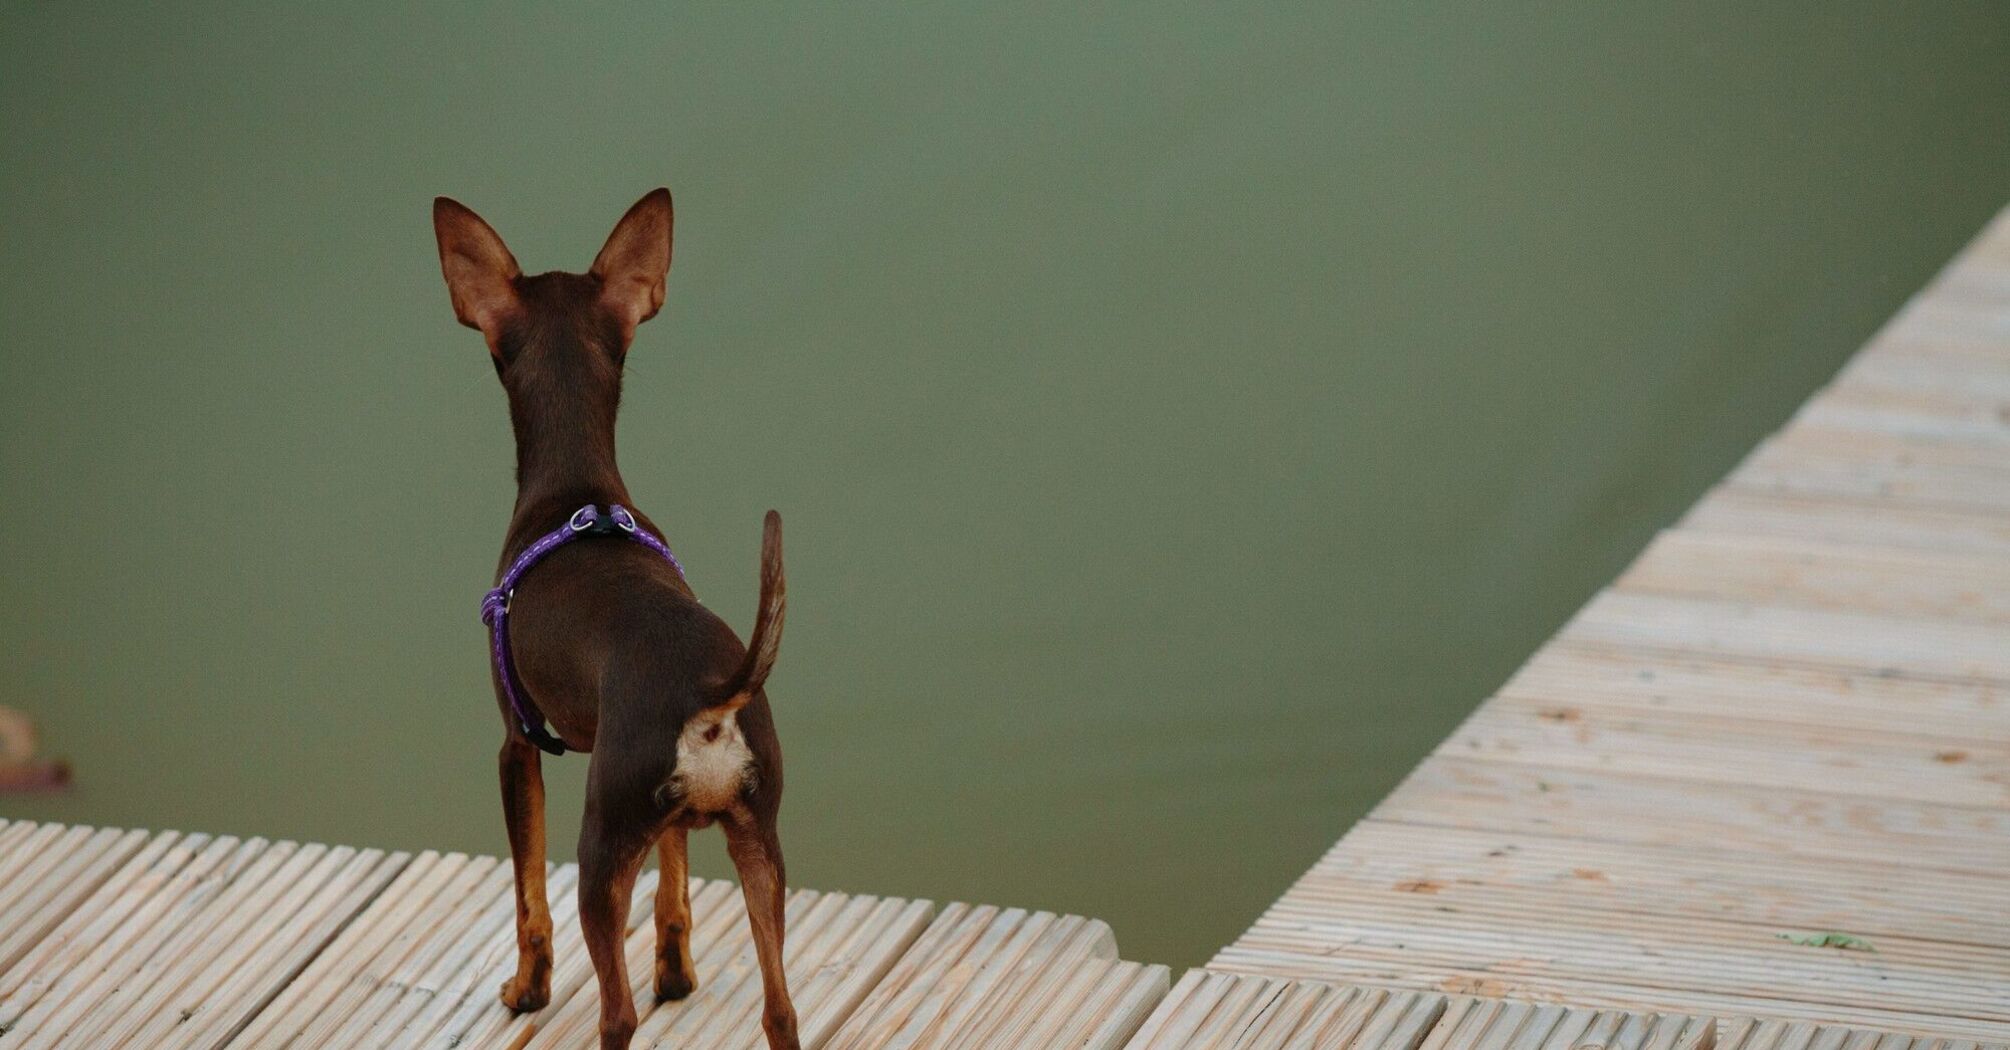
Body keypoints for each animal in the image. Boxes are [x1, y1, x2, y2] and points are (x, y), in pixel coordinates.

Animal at [432, 190, 799, 1045]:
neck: (577, 489)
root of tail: (712, 698)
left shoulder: (515, 747)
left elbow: (528, 896)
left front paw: (526, 989)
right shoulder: (670, 828)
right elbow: (676, 890)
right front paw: (676, 972)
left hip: (601, 851)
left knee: (617, 1012)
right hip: (759, 846)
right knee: (780, 1010)